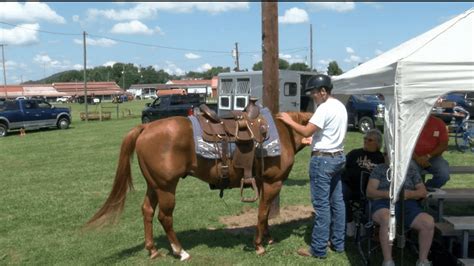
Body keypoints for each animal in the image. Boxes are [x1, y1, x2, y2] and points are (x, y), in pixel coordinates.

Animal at [87, 111, 312, 260]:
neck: (285, 132)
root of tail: (146, 127)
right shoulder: (273, 182)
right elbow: (262, 213)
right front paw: (259, 245)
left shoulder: (263, 182)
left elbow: (264, 215)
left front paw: (268, 238)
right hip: (166, 188)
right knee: (164, 217)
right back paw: (180, 251)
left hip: (154, 186)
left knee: (147, 211)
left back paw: (152, 250)